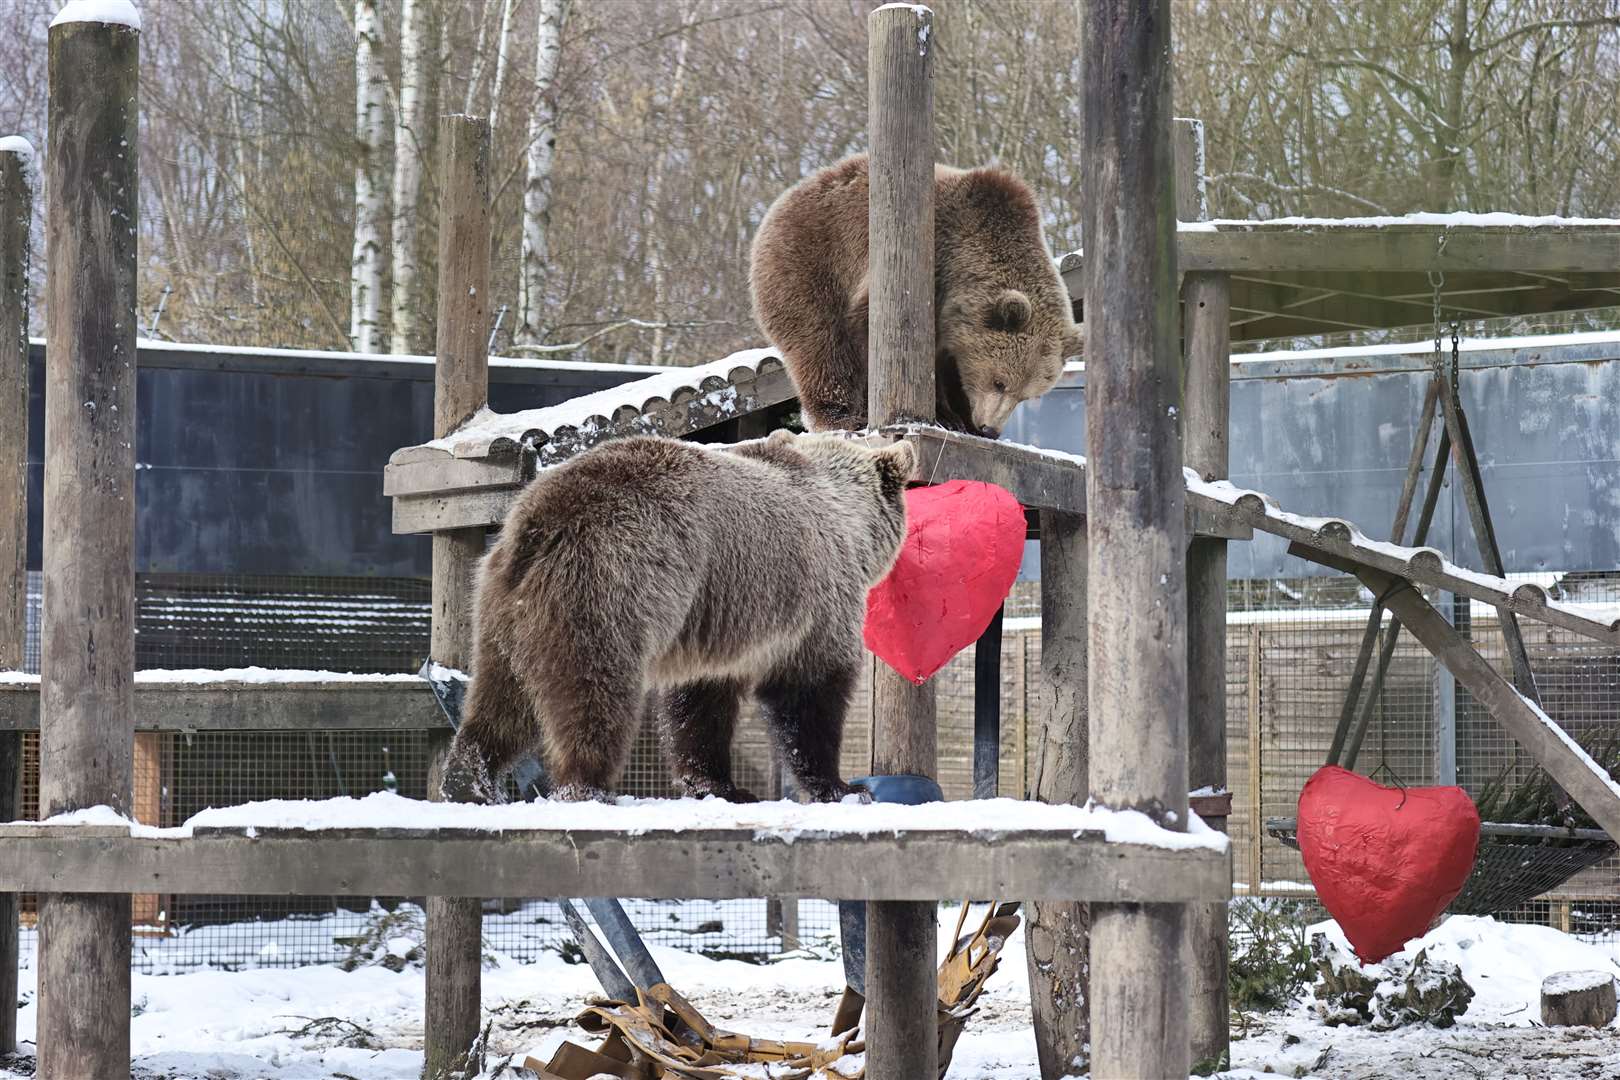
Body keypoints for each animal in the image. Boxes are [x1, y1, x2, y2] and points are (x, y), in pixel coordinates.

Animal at [443, 427, 920, 803]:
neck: (849, 522)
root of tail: (539, 520)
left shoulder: (717, 620)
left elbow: (700, 706)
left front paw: (721, 785)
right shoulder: (819, 601)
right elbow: (809, 693)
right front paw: (842, 787)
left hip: (501, 609)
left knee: (502, 698)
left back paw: (470, 781)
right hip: (609, 586)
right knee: (593, 696)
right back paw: (589, 787)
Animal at [748, 153, 1082, 440]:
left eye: (1027, 395)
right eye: (999, 381)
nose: (990, 429)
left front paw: (961, 418)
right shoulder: (925, 268)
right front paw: (945, 415)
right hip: (809, 263)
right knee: (822, 345)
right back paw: (841, 416)